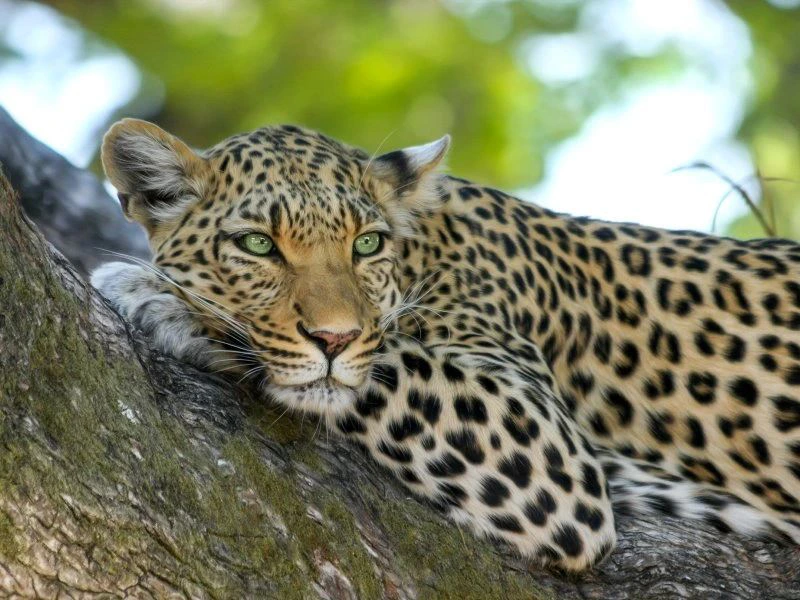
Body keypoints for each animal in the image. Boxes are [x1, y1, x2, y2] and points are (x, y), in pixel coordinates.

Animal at [91, 118, 800, 571]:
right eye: (258, 244)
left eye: (366, 244)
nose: (333, 337)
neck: (425, 252)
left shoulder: (546, 445)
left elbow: (385, 363)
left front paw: (159, 296)